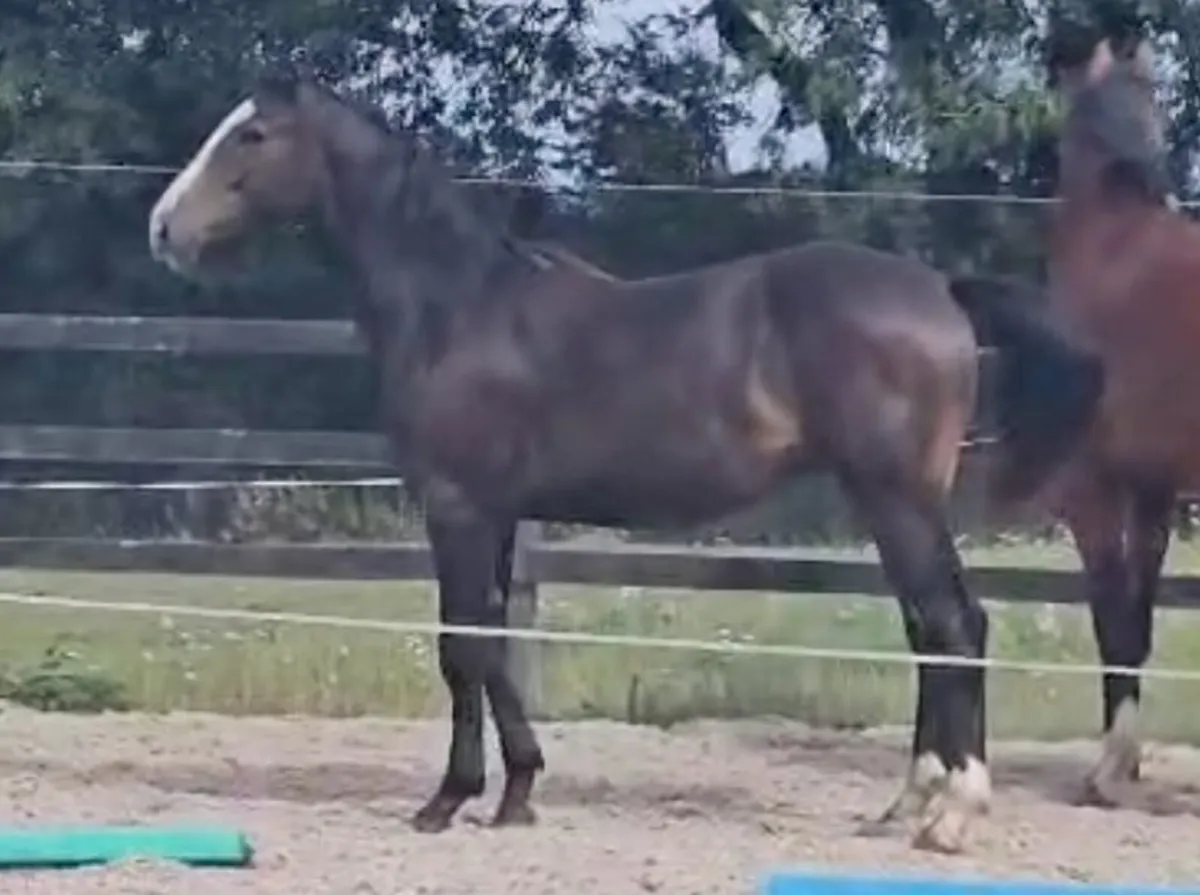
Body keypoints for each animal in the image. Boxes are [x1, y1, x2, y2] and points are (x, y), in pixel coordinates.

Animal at [144, 67, 1103, 854]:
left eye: (252, 135)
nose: (163, 228)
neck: (460, 307)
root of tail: (940, 290)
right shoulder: (496, 513)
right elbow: (494, 641)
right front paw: (516, 793)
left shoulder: (456, 507)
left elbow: (464, 646)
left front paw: (450, 799)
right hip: (888, 503)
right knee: (927, 632)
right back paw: (908, 803)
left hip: (897, 497)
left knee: (955, 626)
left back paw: (952, 816)